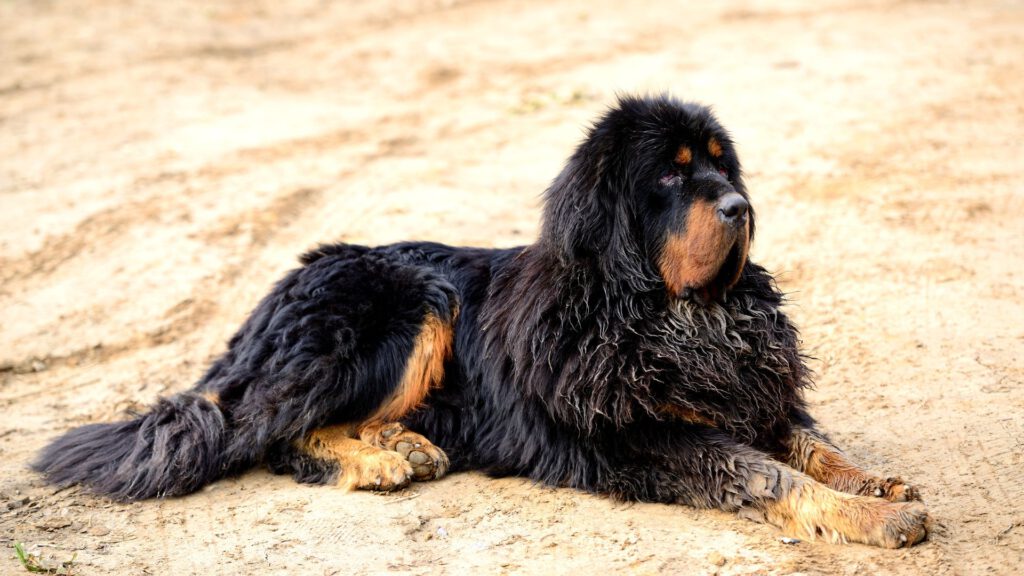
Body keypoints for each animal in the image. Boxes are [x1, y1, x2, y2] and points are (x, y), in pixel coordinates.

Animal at [32, 94, 933, 545]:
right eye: (673, 177)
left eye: (723, 165)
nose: (742, 208)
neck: (671, 316)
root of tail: (269, 300)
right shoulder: (644, 436)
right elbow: (767, 473)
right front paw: (874, 519)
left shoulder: (747, 392)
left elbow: (811, 443)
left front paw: (873, 482)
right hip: (408, 299)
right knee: (271, 433)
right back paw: (378, 460)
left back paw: (403, 444)